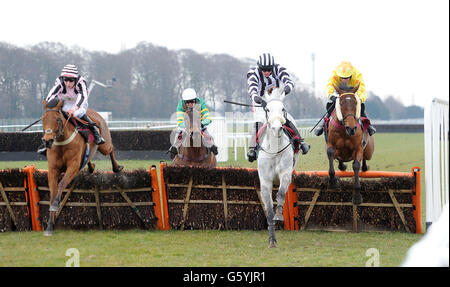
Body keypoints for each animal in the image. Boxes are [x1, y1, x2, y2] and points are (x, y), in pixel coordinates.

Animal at [40, 99, 123, 236]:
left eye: (58, 119)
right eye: (43, 119)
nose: (48, 141)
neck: (62, 142)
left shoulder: (73, 167)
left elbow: (62, 184)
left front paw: (56, 204)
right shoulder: (52, 169)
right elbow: (53, 191)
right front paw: (49, 226)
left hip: (104, 145)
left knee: (111, 148)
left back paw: (116, 167)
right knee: (89, 158)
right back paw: (91, 167)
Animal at [256, 86, 298, 249]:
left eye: (282, 108)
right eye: (267, 109)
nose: (276, 128)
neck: (274, 148)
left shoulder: (285, 174)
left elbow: (280, 194)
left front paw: (279, 215)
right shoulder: (265, 181)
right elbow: (268, 211)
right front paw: (272, 240)